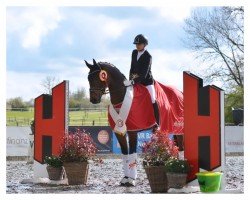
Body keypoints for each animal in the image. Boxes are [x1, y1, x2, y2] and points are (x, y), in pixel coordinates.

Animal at [84, 58, 184, 187]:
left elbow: (132, 152)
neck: (121, 97)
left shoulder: (133, 131)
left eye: (97, 78)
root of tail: (180, 92)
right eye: (88, 78)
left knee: (181, 148)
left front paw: (131, 179)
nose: (94, 100)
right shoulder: (119, 131)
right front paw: (125, 178)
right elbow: (125, 153)